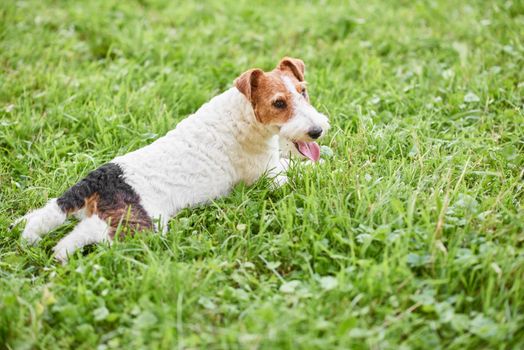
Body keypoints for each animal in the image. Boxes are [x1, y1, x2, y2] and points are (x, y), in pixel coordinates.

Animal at [12, 56, 330, 262]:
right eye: (279, 103)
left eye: (303, 91)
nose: (317, 131)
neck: (243, 114)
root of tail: (98, 180)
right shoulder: (268, 176)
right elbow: (298, 171)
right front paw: (323, 168)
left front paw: (326, 155)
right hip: (138, 224)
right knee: (88, 236)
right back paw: (61, 254)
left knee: (48, 217)